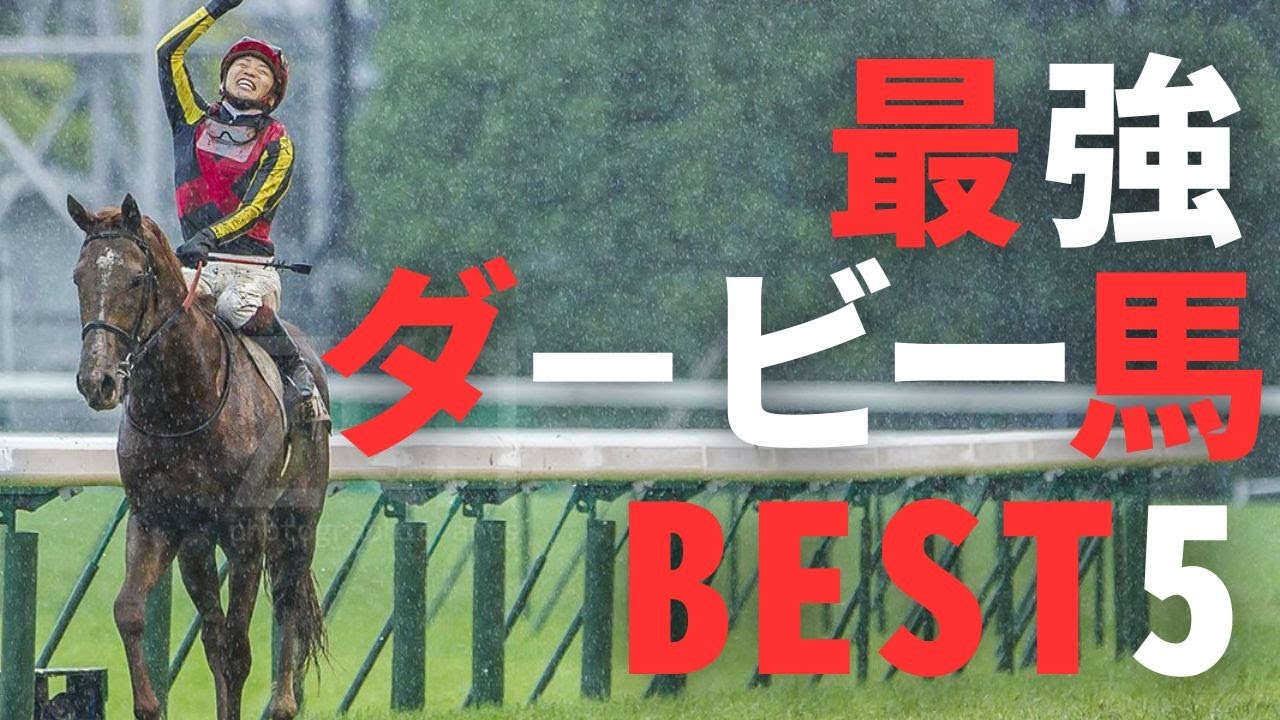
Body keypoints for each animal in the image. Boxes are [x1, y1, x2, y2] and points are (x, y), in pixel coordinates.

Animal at [69, 193, 329, 720]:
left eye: (135, 278)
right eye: (78, 277)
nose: (97, 381)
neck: (182, 404)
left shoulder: (247, 529)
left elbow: (239, 646)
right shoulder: (158, 520)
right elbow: (130, 611)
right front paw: (149, 704)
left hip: (298, 520)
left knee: (287, 602)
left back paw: (283, 704)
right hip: (198, 546)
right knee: (213, 632)